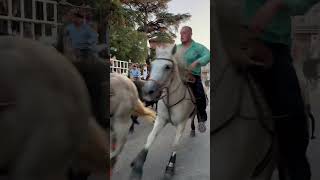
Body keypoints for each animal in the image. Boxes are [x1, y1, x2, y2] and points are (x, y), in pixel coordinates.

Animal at [128, 44, 198, 180]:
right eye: (152, 65)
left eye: (167, 67)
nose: (148, 91)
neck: (171, 99)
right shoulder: (161, 120)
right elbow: (151, 137)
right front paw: (137, 166)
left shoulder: (181, 124)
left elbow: (175, 144)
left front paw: (170, 167)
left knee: (194, 118)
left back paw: (193, 130)